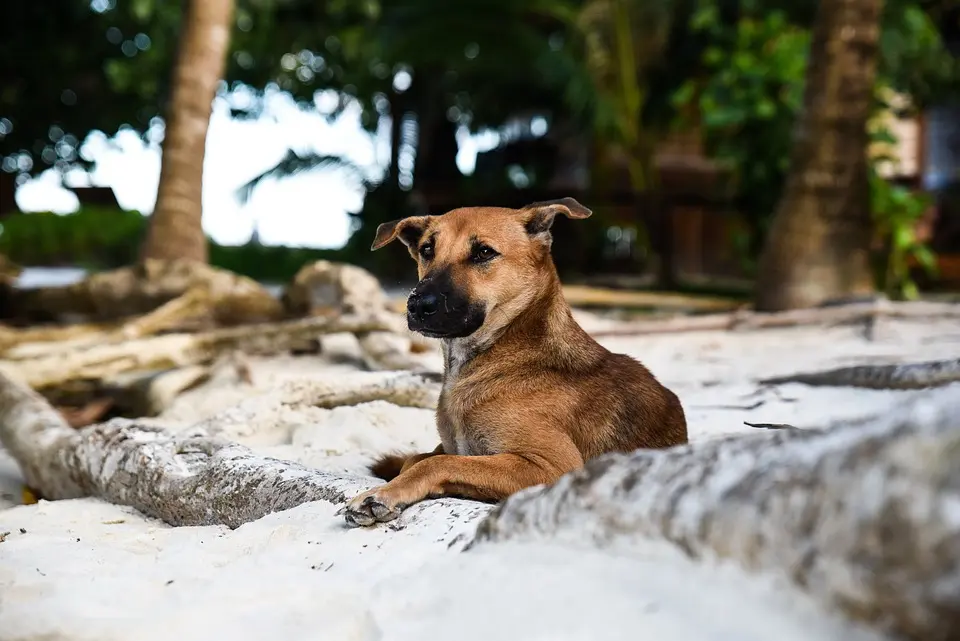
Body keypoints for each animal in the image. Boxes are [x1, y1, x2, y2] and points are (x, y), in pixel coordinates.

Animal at [344, 199, 688, 524]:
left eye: (484, 252)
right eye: (427, 249)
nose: (417, 305)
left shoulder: (554, 467)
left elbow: (438, 461)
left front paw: (382, 494)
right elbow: (417, 459)